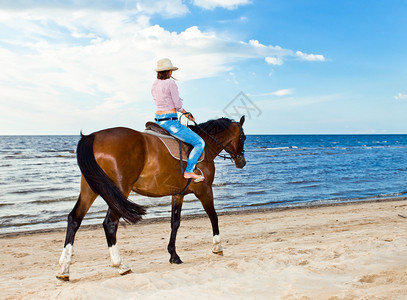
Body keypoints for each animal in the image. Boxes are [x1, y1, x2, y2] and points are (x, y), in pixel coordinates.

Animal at [55, 115, 247, 282]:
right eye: (243, 137)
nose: (242, 162)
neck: (204, 146)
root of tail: (93, 136)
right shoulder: (205, 191)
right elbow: (213, 216)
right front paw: (218, 247)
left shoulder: (177, 194)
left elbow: (175, 223)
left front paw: (173, 255)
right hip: (118, 191)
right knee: (109, 223)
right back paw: (120, 265)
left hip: (91, 189)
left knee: (74, 219)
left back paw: (64, 268)